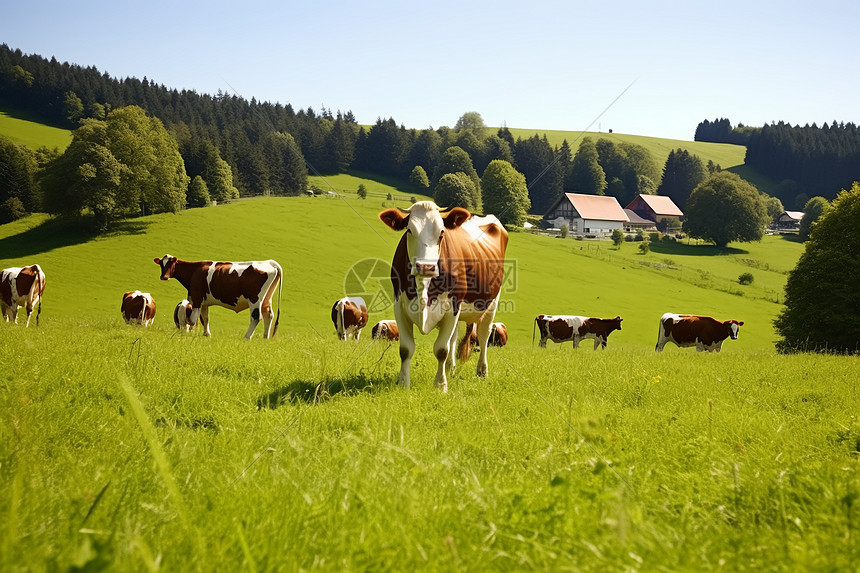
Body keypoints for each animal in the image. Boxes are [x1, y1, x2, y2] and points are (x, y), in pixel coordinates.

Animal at [156, 252, 284, 338]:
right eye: (162, 264)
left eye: (171, 264)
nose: (163, 277)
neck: (194, 271)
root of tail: (269, 262)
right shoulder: (204, 302)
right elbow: (205, 318)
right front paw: (206, 334)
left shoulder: (197, 298)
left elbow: (192, 319)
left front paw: (186, 328)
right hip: (266, 299)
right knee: (269, 315)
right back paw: (265, 337)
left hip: (254, 299)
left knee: (256, 317)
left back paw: (247, 337)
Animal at [380, 199, 508, 392]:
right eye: (409, 230)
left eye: (441, 232)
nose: (425, 267)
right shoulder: (399, 305)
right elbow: (406, 349)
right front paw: (403, 383)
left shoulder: (452, 307)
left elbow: (441, 349)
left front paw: (440, 385)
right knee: (454, 337)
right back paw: (450, 368)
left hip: (492, 302)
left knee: (484, 335)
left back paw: (482, 371)